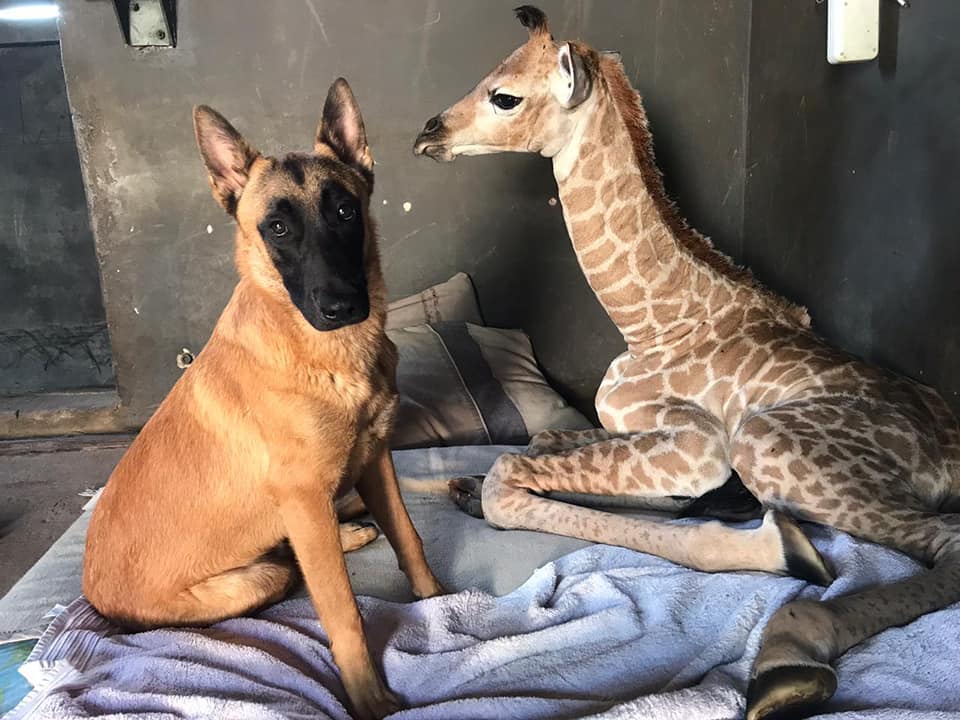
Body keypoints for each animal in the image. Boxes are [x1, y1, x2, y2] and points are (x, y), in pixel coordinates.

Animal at [413, 7, 960, 720]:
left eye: (505, 96)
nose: (429, 132)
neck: (654, 324)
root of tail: (951, 449)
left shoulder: (702, 445)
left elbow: (513, 475)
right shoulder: (624, 426)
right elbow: (543, 441)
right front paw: (472, 485)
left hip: (766, 439)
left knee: (946, 542)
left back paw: (791, 651)